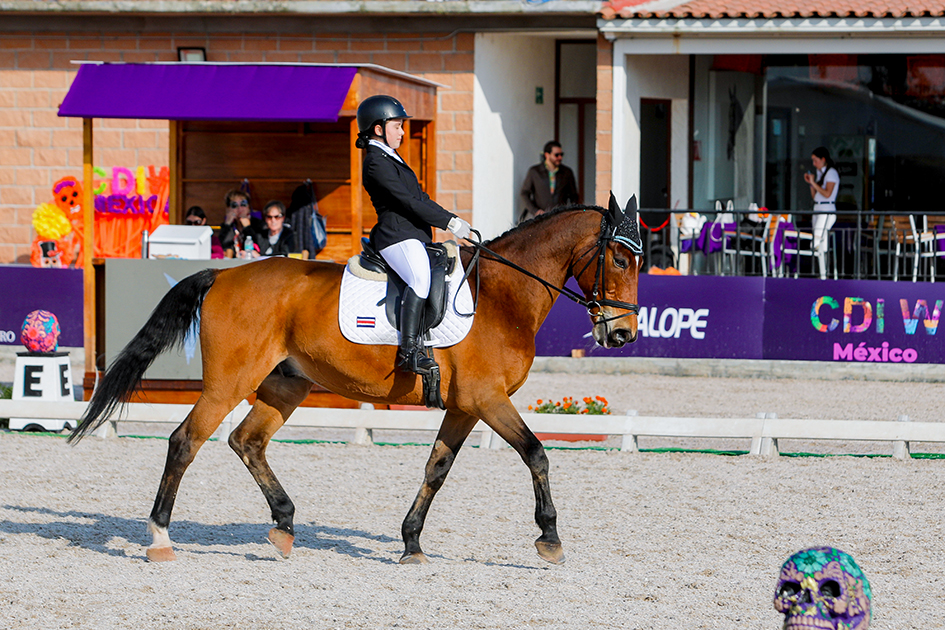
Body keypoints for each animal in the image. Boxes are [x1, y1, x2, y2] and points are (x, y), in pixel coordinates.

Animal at [69, 193, 642, 565]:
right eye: (618, 258)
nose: (623, 334)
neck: (502, 296)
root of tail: (225, 274)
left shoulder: (464, 405)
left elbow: (436, 469)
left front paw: (411, 543)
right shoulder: (488, 399)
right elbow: (537, 453)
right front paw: (550, 539)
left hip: (286, 384)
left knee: (246, 440)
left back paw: (284, 525)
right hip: (227, 384)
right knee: (185, 441)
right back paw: (161, 539)